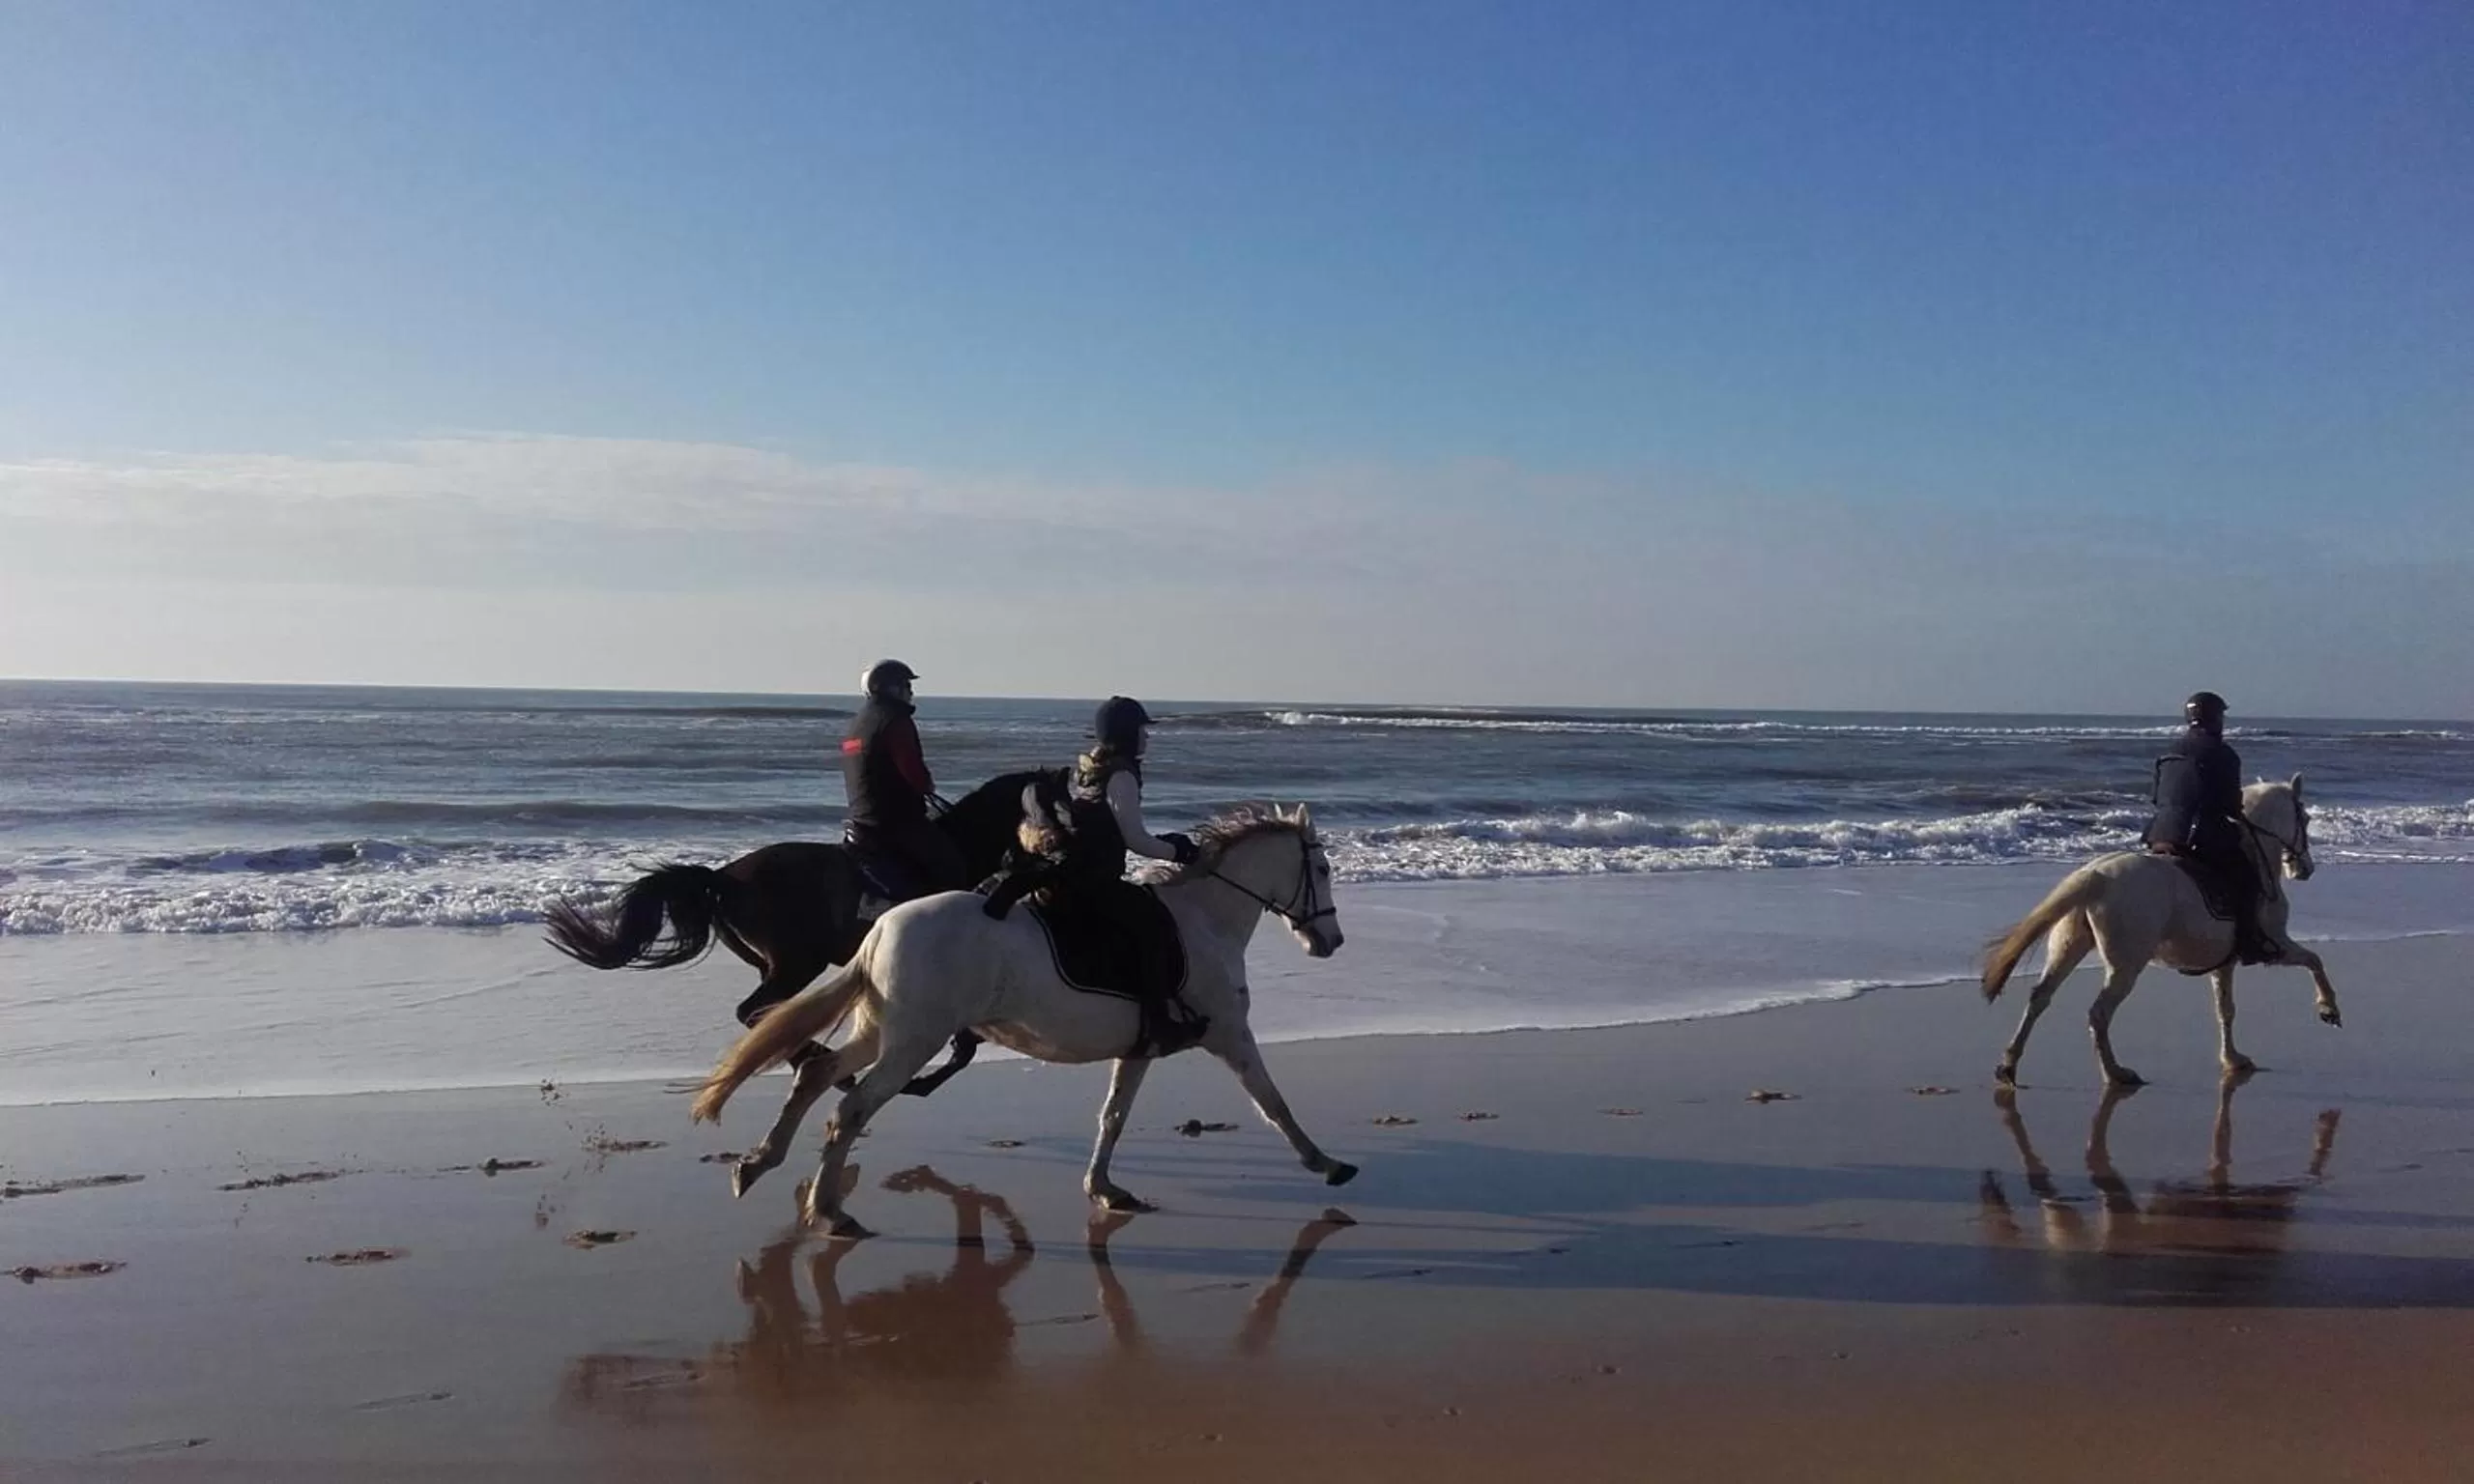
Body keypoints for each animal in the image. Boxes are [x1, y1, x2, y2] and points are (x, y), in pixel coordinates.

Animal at [544, 768, 1060, 1098]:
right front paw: (918, 1081)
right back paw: (820, 1064)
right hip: (795, 963)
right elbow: (964, 1047)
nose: (1059, 851)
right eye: (1061, 802)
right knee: (755, 1011)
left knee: (763, 1012)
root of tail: (724, 877)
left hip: (779, 964)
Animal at [689, 805, 1355, 1237]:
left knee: (817, 1074)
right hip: (914, 1039)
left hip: (883, 1032)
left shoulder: (1139, 1048)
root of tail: (880, 928)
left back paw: (757, 1165)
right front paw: (1327, 1163)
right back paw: (830, 1212)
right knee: (849, 1108)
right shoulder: (1229, 1033)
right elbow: (1273, 1103)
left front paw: (1103, 1189)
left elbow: (1113, 1117)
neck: (1206, 920)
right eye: (1322, 871)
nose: (1331, 941)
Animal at [1980, 775, 2341, 1087]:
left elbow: (2225, 1010)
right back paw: (2115, 1073)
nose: (2304, 869)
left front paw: (2232, 1059)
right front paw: (2328, 1009)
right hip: (2125, 966)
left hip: (2068, 947)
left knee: (2040, 998)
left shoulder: (2224, 963)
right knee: (2099, 1014)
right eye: (2305, 818)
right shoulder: (2276, 945)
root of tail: (2097, 874)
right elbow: (2315, 960)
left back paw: (2008, 1067)